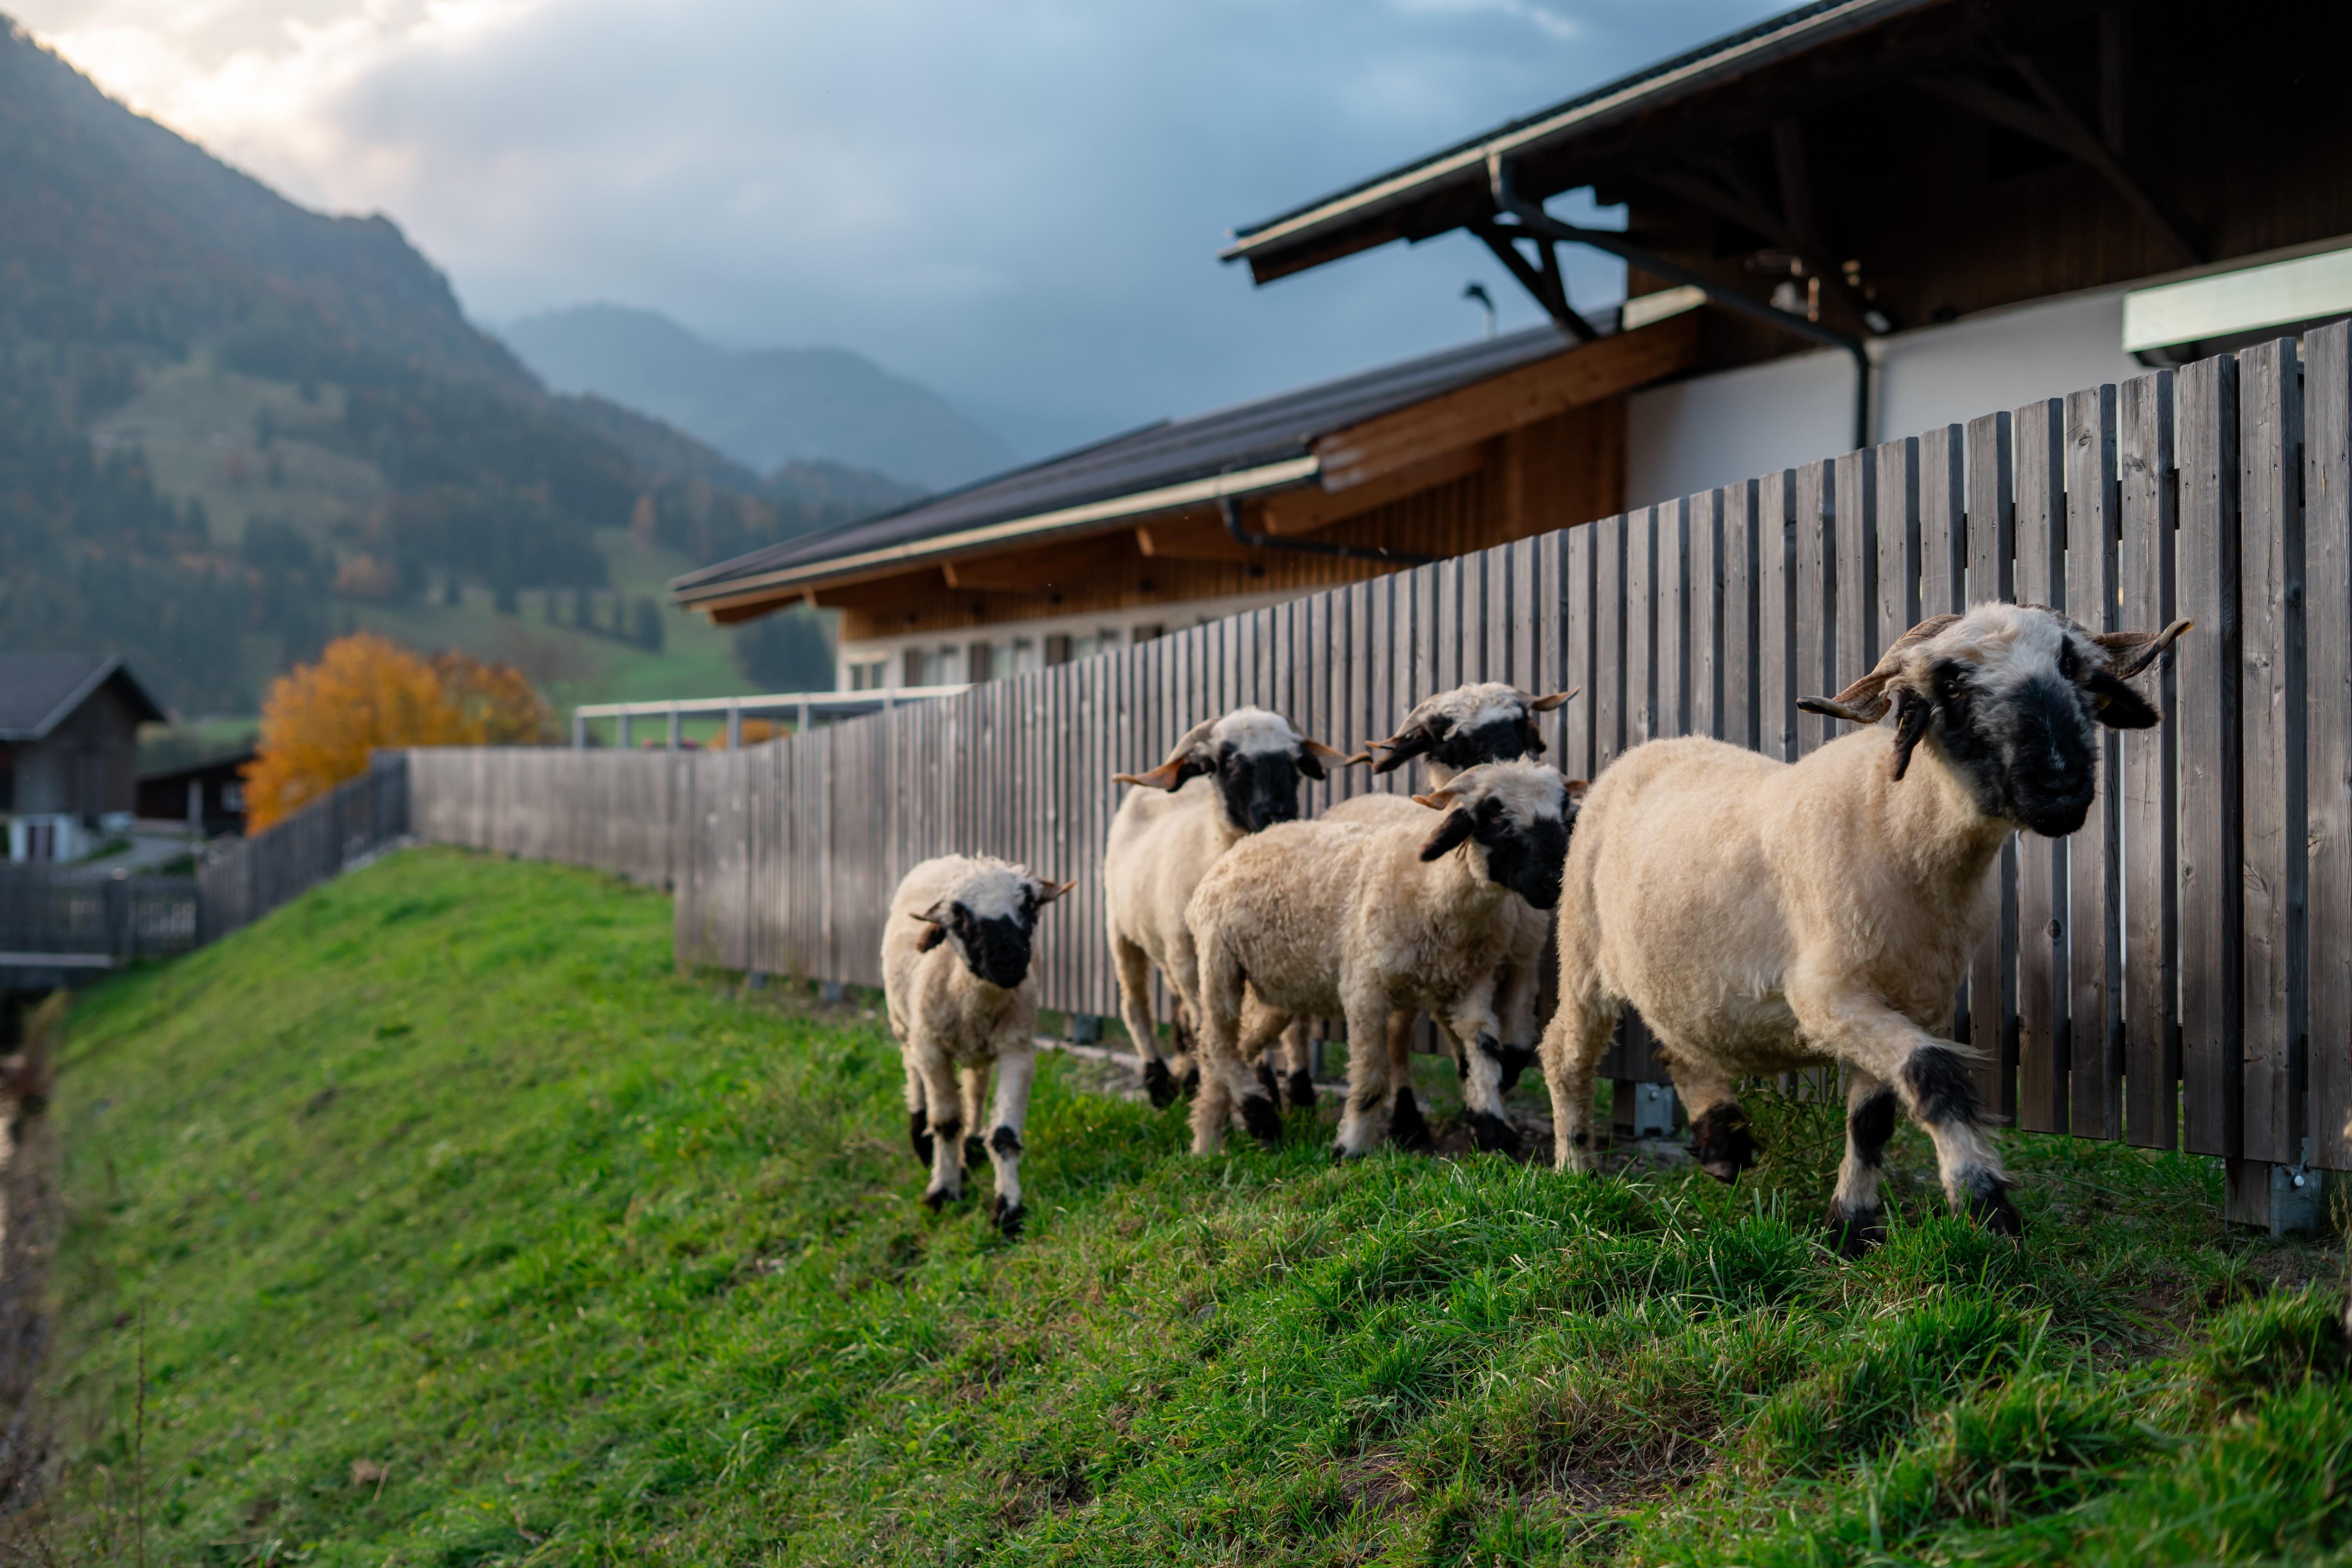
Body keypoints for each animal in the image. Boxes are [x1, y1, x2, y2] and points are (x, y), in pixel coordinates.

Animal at [882, 854, 1072, 1237]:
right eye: (960, 916)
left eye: (1029, 905)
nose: (1008, 961)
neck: (972, 1000)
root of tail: (951, 859)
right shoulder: (932, 1049)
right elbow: (945, 1123)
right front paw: (943, 1191)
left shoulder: (1017, 1050)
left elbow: (1004, 1135)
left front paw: (1008, 1210)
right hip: (905, 1026)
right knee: (912, 1072)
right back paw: (921, 1137)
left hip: (979, 1049)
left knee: (976, 1087)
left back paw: (971, 1142)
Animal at [1103, 707, 1353, 1121]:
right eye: (1230, 761)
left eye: (1296, 761)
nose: (1279, 815)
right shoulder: (1190, 962)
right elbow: (1218, 1027)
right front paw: (1250, 1102)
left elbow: (1279, 1029)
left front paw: (1281, 1094)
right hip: (1122, 932)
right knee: (1136, 1005)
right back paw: (1159, 1086)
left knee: (1180, 1015)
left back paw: (1188, 1080)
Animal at [1186, 760, 1577, 1158]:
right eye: (1495, 814)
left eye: (1563, 811)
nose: (1555, 881)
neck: (1433, 890)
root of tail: (1244, 846)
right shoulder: (1364, 990)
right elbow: (1371, 1076)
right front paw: (1351, 1146)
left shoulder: (1471, 986)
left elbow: (1483, 1053)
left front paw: (1495, 1131)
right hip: (1218, 960)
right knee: (1218, 1043)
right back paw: (1254, 1116)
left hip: (1277, 992)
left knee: (1233, 1048)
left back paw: (1209, 1140)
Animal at [1538, 602, 2188, 1250]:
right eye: (1951, 683)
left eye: (2073, 666)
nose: (2059, 786)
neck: (1897, 822)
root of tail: (1648, 751)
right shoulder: (1828, 997)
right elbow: (1933, 1072)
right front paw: (1985, 1205)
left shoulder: (1913, 999)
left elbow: (1871, 1119)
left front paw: (1850, 1224)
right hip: (1583, 950)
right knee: (1564, 1052)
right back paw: (1576, 1173)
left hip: (1678, 976)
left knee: (1678, 1047)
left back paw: (1722, 1143)